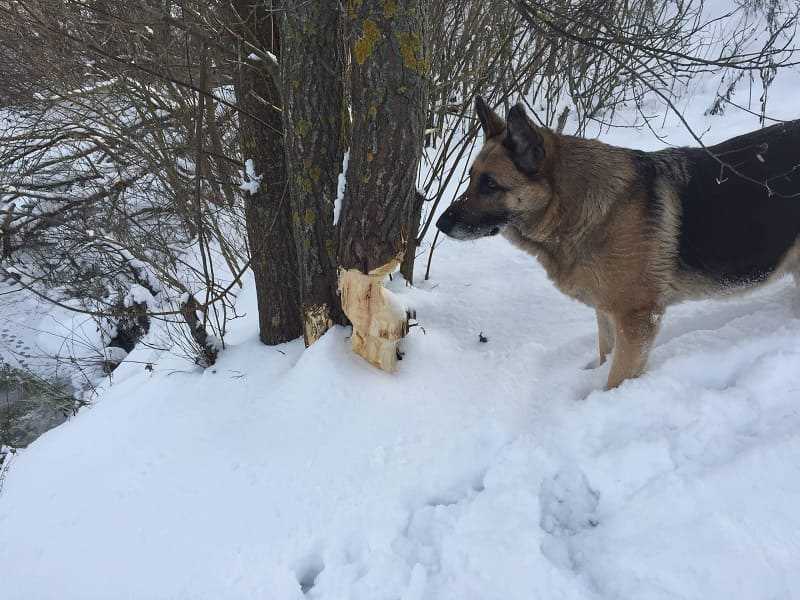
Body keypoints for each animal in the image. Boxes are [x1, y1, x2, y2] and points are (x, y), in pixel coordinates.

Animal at [438, 98, 800, 390]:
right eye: (470, 178)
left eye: (490, 185)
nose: (440, 224)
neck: (576, 207)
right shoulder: (607, 312)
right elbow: (604, 355)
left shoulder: (636, 320)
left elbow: (615, 379)